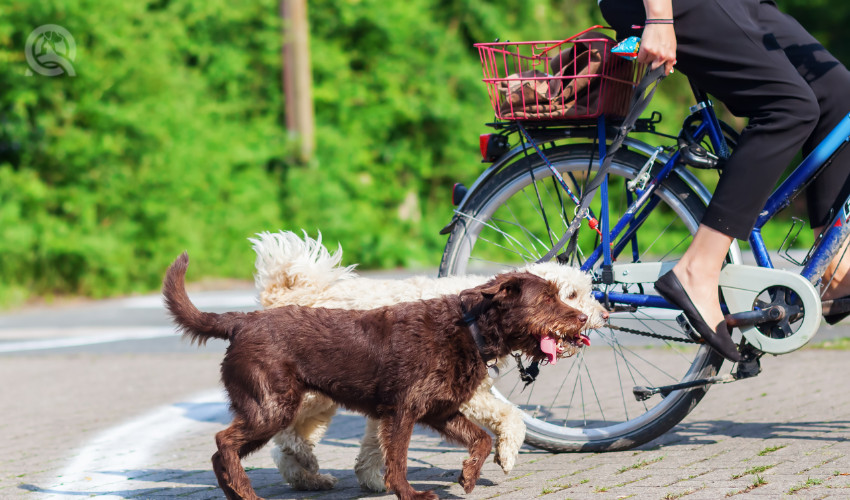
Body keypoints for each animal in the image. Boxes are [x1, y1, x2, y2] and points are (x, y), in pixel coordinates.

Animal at [162, 254, 588, 500]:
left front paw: (467, 477)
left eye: (562, 294)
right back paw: (248, 492)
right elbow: (396, 461)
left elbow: (481, 440)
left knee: (221, 452)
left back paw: (236, 492)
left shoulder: (440, 411)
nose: (584, 318)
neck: (469, 329)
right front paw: (410, 494)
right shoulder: (401, 413)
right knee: (225, 442)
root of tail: (241, 322)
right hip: (272, 408)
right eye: (549, 299)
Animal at [248, 230, 608, 492]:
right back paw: (304, 461)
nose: (603, 314)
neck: (474, 317)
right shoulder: (465, 396)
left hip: (322, 400)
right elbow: (512, 416)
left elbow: (375, 445)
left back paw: (309, 477)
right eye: (569, 294)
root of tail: (292, 294)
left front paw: (374, 479)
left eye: (584, 291)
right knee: (285, 436)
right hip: (311, 394)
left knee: (287, 443)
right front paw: (506, 455)